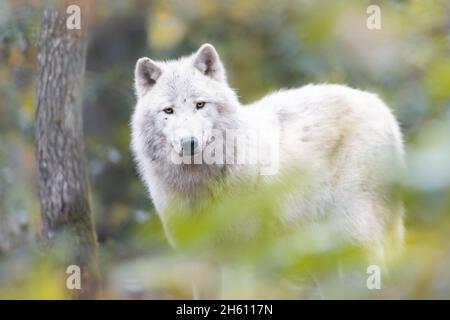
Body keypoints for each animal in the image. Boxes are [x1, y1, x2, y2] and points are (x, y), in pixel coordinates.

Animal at [129, 43, 404, 286]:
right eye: (168, 110)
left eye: (200, 105)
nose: (189, 143)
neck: (198, 185)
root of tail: (380, 106)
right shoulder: (199, 264)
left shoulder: (238, 259)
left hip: (353, 237)